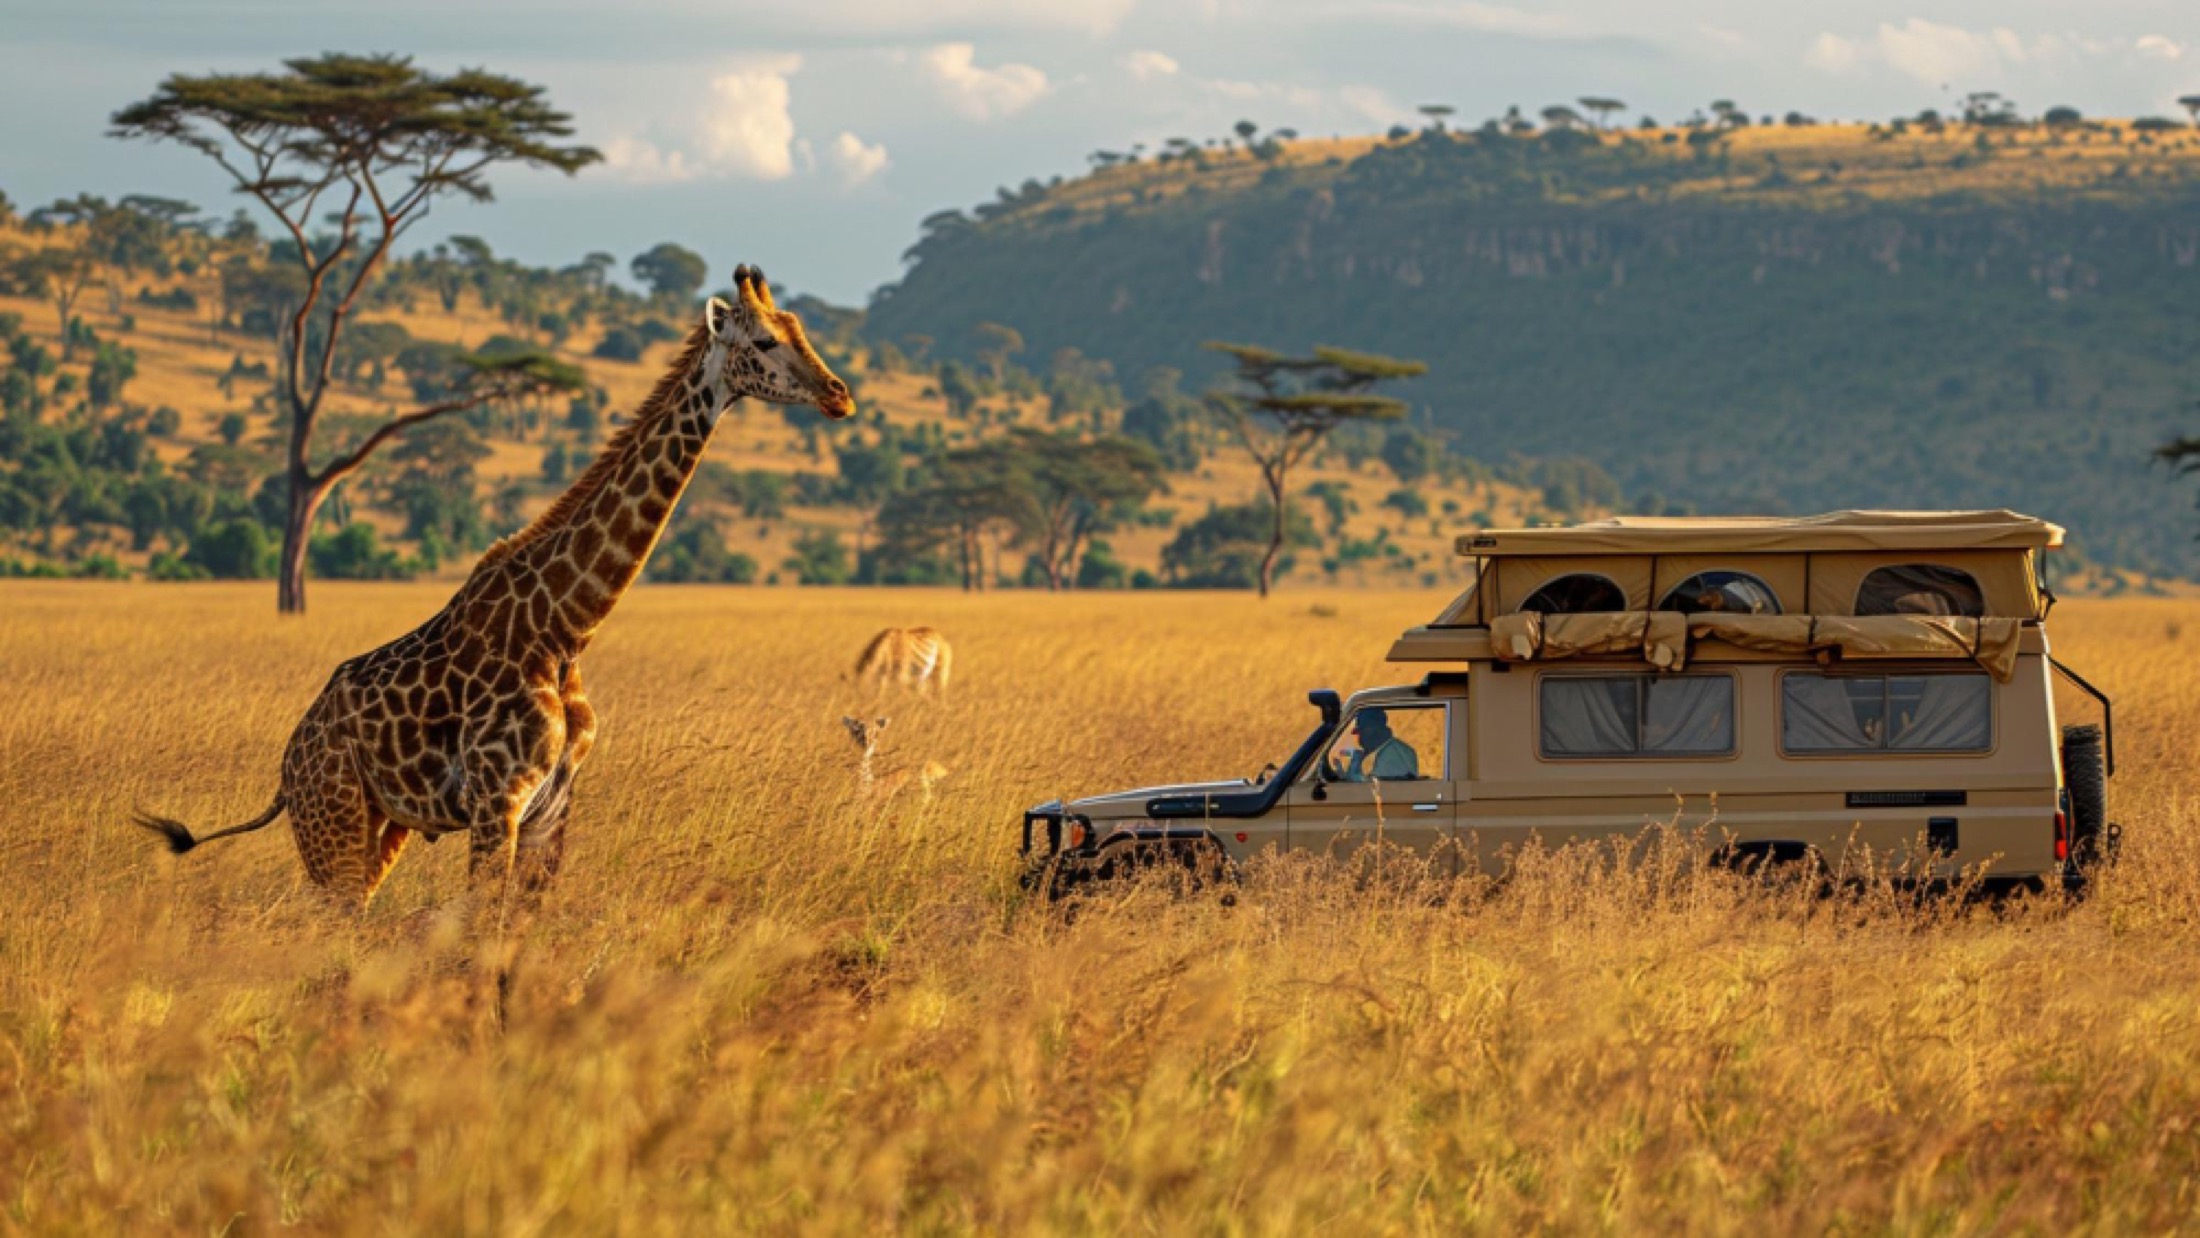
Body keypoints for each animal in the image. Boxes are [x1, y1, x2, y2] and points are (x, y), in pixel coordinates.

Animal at [135, 265, 852, 906]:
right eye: (765, 341)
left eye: (800, 328)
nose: (839, 394)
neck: (567, 627)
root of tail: (288, 765)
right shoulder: (496, 802)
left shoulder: (550, 811)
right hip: (331, 823)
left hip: (382, 828)